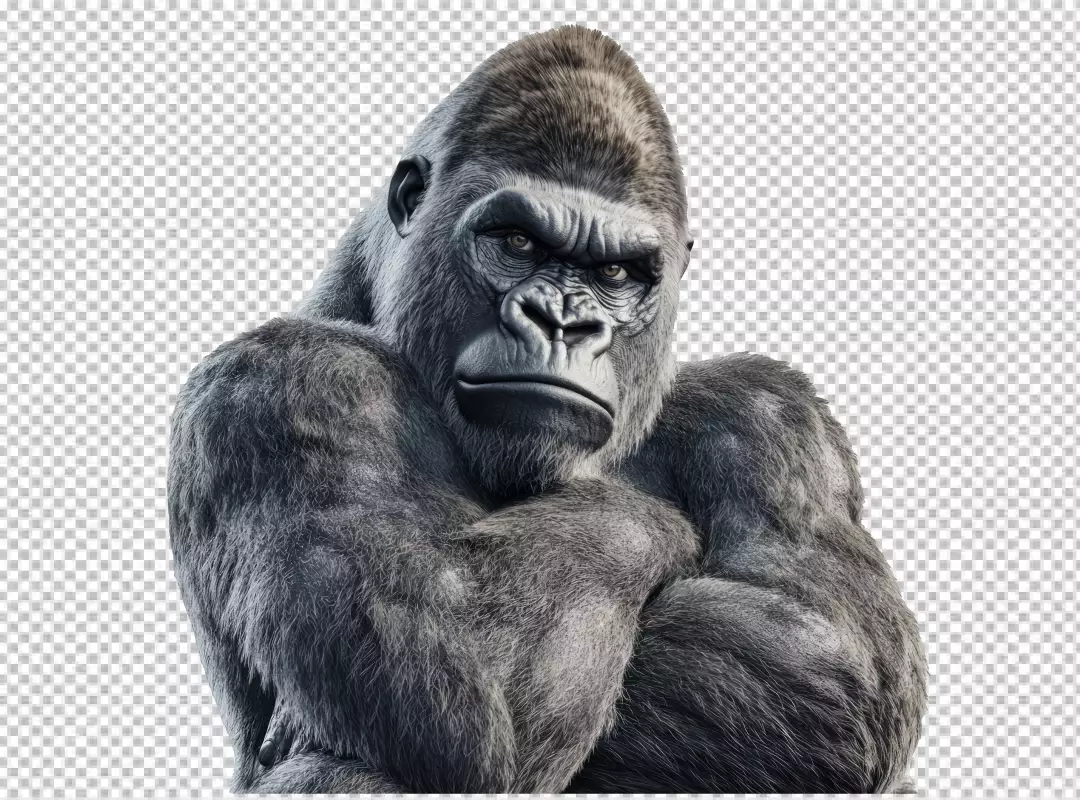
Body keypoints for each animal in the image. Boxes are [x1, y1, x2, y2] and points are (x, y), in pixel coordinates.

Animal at [168, 25, 926, 793]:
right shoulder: (283, 381)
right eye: (517, 242)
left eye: (615, 272)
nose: (561, 321)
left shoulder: (768, 410)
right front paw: (639, 524)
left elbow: (821, 655)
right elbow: (461, 690)